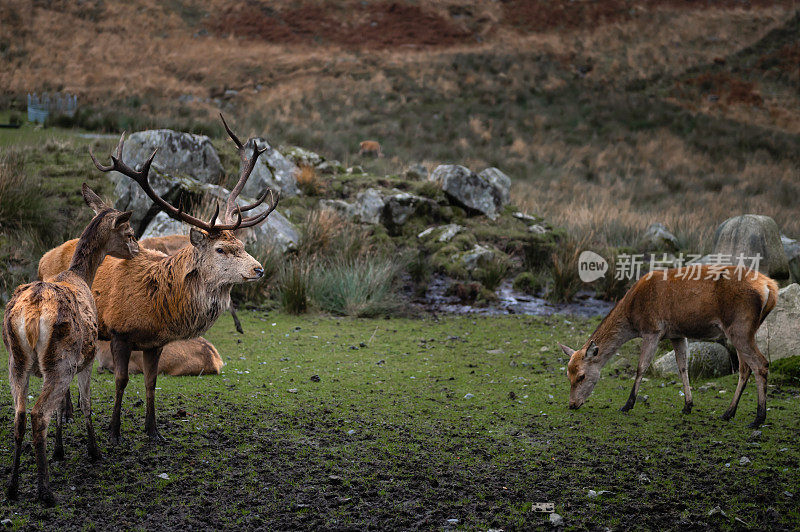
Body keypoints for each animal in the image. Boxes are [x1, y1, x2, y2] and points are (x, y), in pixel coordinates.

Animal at [2, 185, 138, 504]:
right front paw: (94, 451)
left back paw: (13, 487)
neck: (80, 274)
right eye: (129, 232)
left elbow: (62, 409)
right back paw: (45, 491)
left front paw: (60, 451)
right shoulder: (86, 359)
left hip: (16, 361)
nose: (136, 250)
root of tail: (33, 313)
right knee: (38, 414)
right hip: (60, 361)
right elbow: (86, 404)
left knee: (19, 416)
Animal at [39, 115, 280, 444]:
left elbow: (151, 383)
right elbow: (121, 381)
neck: (159, 304)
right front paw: (114, 431)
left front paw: (153, 431)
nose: (259, 270)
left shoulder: (156, 342)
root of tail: (44, 257)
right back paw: (65, 413)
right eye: (220, 249)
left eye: (242, 245)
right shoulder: (119, 332)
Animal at [560, 266, 780, 428]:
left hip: (739, 326)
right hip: (745, 330)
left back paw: (758, 418)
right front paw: (687, 406)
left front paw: (627, 405)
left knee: (760, 364)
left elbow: (641, 367)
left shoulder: (652, 329)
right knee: (745, 368)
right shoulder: (676, 334)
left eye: (581, 376)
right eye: (568, 374)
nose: (572, 404)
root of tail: (770, 287)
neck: (631, 315)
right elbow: (682, 367)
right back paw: (728, 413)